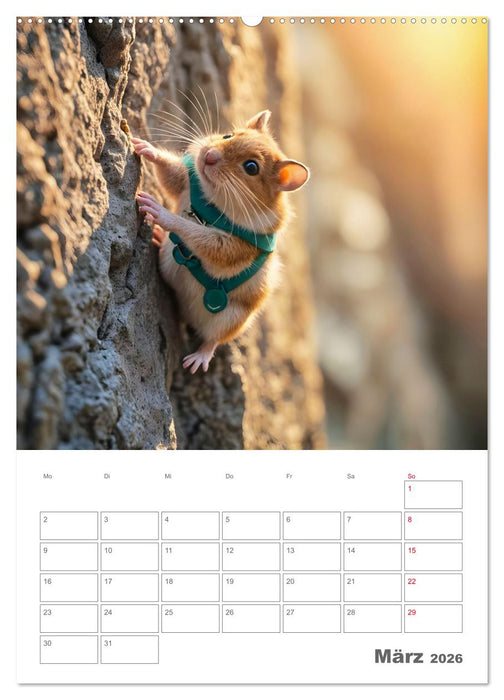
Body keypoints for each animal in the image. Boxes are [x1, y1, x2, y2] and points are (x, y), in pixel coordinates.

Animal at [133, 109, 309, 373]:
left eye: (251, 167)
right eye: (229, 135)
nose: (209, 156)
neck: (214, 201)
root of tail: (189, 316)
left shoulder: (234, 246)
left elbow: (198, 235)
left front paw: (159, 212)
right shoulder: (188, 184)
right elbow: (172, 174)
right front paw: (144, 146)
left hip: (231, 320)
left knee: (213, 339)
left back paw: (198, 358)